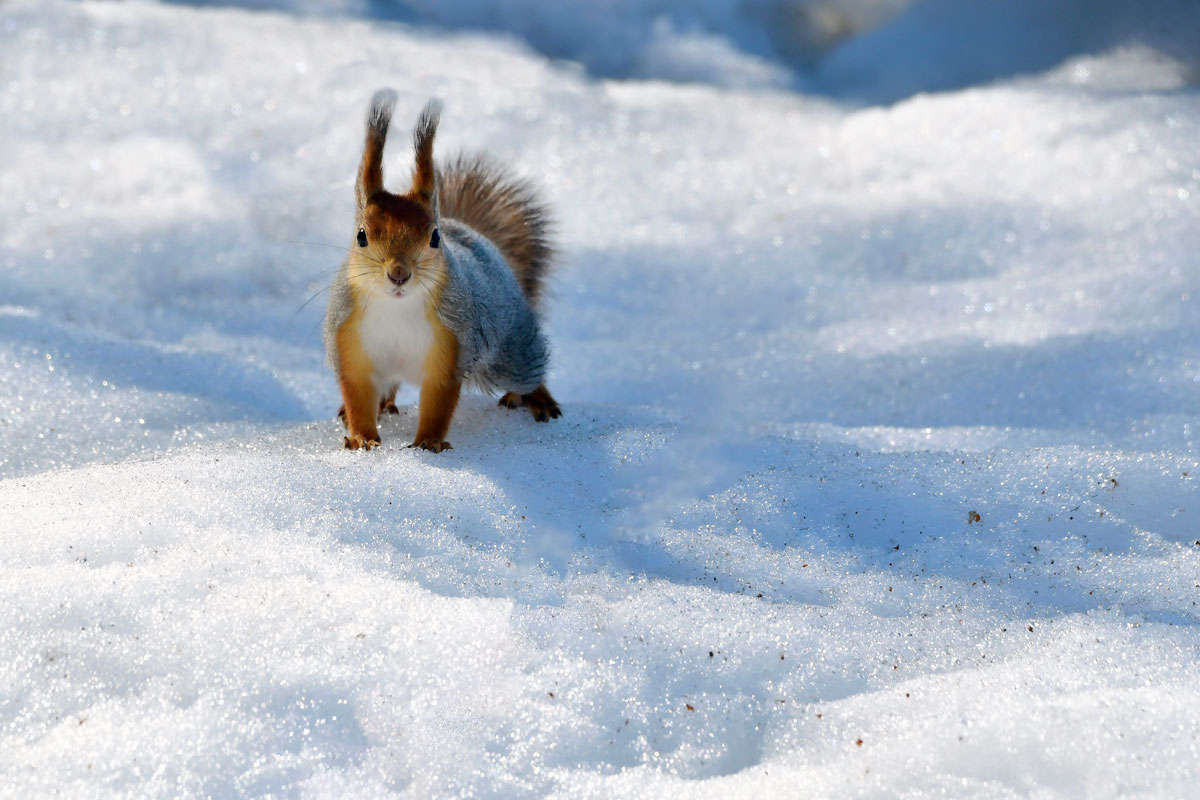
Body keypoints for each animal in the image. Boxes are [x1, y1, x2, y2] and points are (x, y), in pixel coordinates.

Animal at [323, 90, 560, 452]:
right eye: (361, 235)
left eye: (434, 237)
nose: (399, 274)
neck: (395, 307)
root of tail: (468, 231)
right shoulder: (350, 346)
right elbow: (358, 396)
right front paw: (363, 438)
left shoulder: (451, 346)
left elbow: (439, 402)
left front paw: (429, 442)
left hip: (509, 349)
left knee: (528, 370)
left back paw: (539, 399)